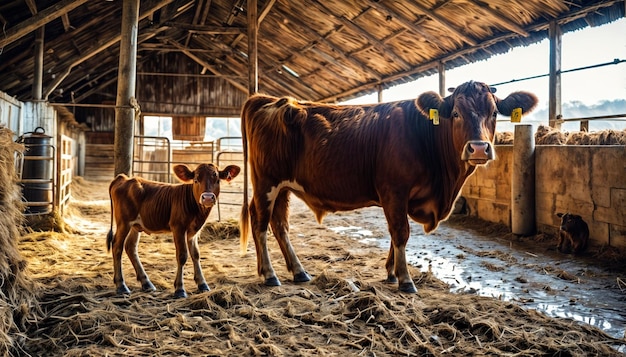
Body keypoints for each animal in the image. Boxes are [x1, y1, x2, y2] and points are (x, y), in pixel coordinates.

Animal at [107, 163, 239, 296]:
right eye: (196, 180)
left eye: (217, 180)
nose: (207, 198)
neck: (197, 213)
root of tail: (123, 178)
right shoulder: (178, 228)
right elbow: (182, 255)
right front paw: (180, 289)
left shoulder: (194, 231)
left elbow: (196, 254)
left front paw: (202, 284)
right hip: (124, 222)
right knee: (117, 246)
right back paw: (121, 285)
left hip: (136, 226)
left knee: (130, 247)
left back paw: (146, 283)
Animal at [239, 80, 536, 292]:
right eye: (455, 113)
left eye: (494, 112)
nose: (479, 148)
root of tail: (270, 100)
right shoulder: (394, 190)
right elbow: (401, 232)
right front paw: (405, 280)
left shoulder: (400, 197)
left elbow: (395, 234)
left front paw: (391, 273)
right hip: (266, 183)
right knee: (260, 222)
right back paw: (269, 274)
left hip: (283, 188)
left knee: (279, 224)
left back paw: (298, 271)